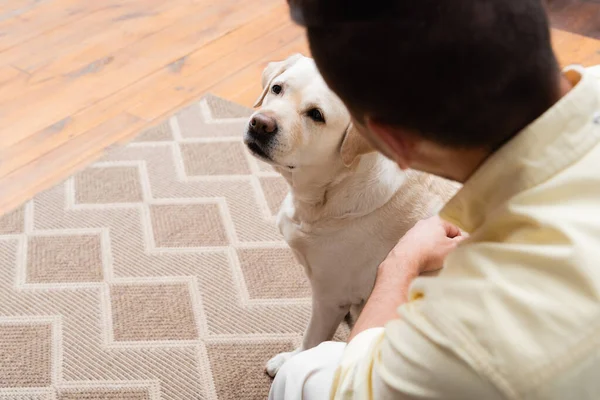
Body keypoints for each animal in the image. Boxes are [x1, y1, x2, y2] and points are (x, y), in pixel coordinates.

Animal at [244, 54, 460, 376]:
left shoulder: (329, 296)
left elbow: (311, 339)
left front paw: (289, 361)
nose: (260, 123)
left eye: (316, 115)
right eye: (277, 88)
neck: (327, 194)